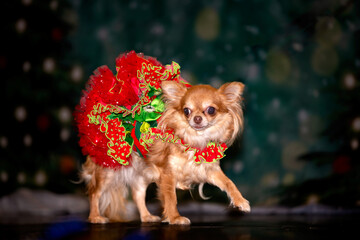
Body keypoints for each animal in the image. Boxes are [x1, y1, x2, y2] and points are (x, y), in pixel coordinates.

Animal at [81, 79, 250, 224]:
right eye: (186, 111)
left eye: (211, 110)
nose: (196, 118)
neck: (194, 141)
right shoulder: (167, 172)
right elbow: (170, 198)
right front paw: (175, 218)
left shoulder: (209, 170)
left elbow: (229, 183)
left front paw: (241, 201)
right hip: (108, 171)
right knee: (94, 193)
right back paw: (95, 217)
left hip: (141, 174)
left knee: (137, 195)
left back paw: (146, 216)